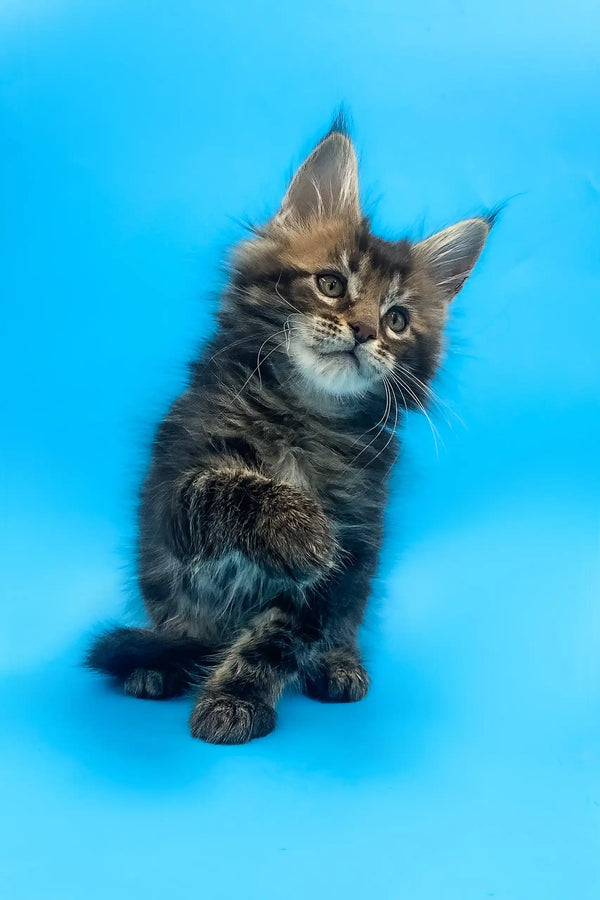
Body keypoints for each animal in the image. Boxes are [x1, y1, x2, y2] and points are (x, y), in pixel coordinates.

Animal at [85, 116, 492, 740]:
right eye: (331, 284)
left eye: (397, 320)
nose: (363, 332)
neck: (306, 416)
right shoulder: (173, 484)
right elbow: (227, 486)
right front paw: (299, 527)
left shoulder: (348, 549)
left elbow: (275, 640)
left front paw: (236, 700)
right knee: (177, 632)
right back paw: (154, 666)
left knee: (338, 632)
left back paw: (339, 665)